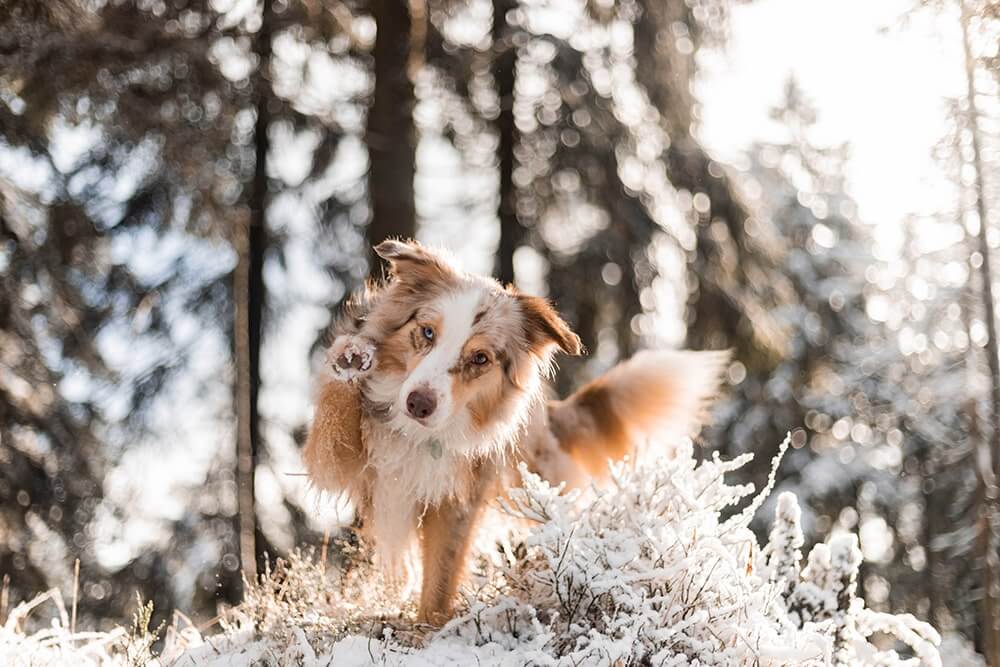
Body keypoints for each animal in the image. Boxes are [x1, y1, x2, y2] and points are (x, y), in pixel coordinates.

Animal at [300, 241, 732, 628]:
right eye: (426, 332)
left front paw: (428, 633)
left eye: (480, 358)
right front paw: (351, 359)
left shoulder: (460, 499)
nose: (418, 404)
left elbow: (440, 578)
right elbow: (334, 425)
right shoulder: (339, 463)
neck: (417, 434)